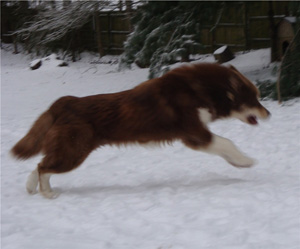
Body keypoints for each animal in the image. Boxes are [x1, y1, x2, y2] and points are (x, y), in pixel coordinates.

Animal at [11, 63, 270, 198]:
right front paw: (245, 161)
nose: (269, 114)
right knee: (43, 167)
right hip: (74, 152)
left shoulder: (197, 135)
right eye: (256, 99)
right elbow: (227, 143)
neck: (201, 89)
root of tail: (65, 102)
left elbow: (224, 146)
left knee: (40, 164)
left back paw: (31, 188)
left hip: (68, 150)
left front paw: (236, 162)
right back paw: (47, 193)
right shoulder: (195, 134)